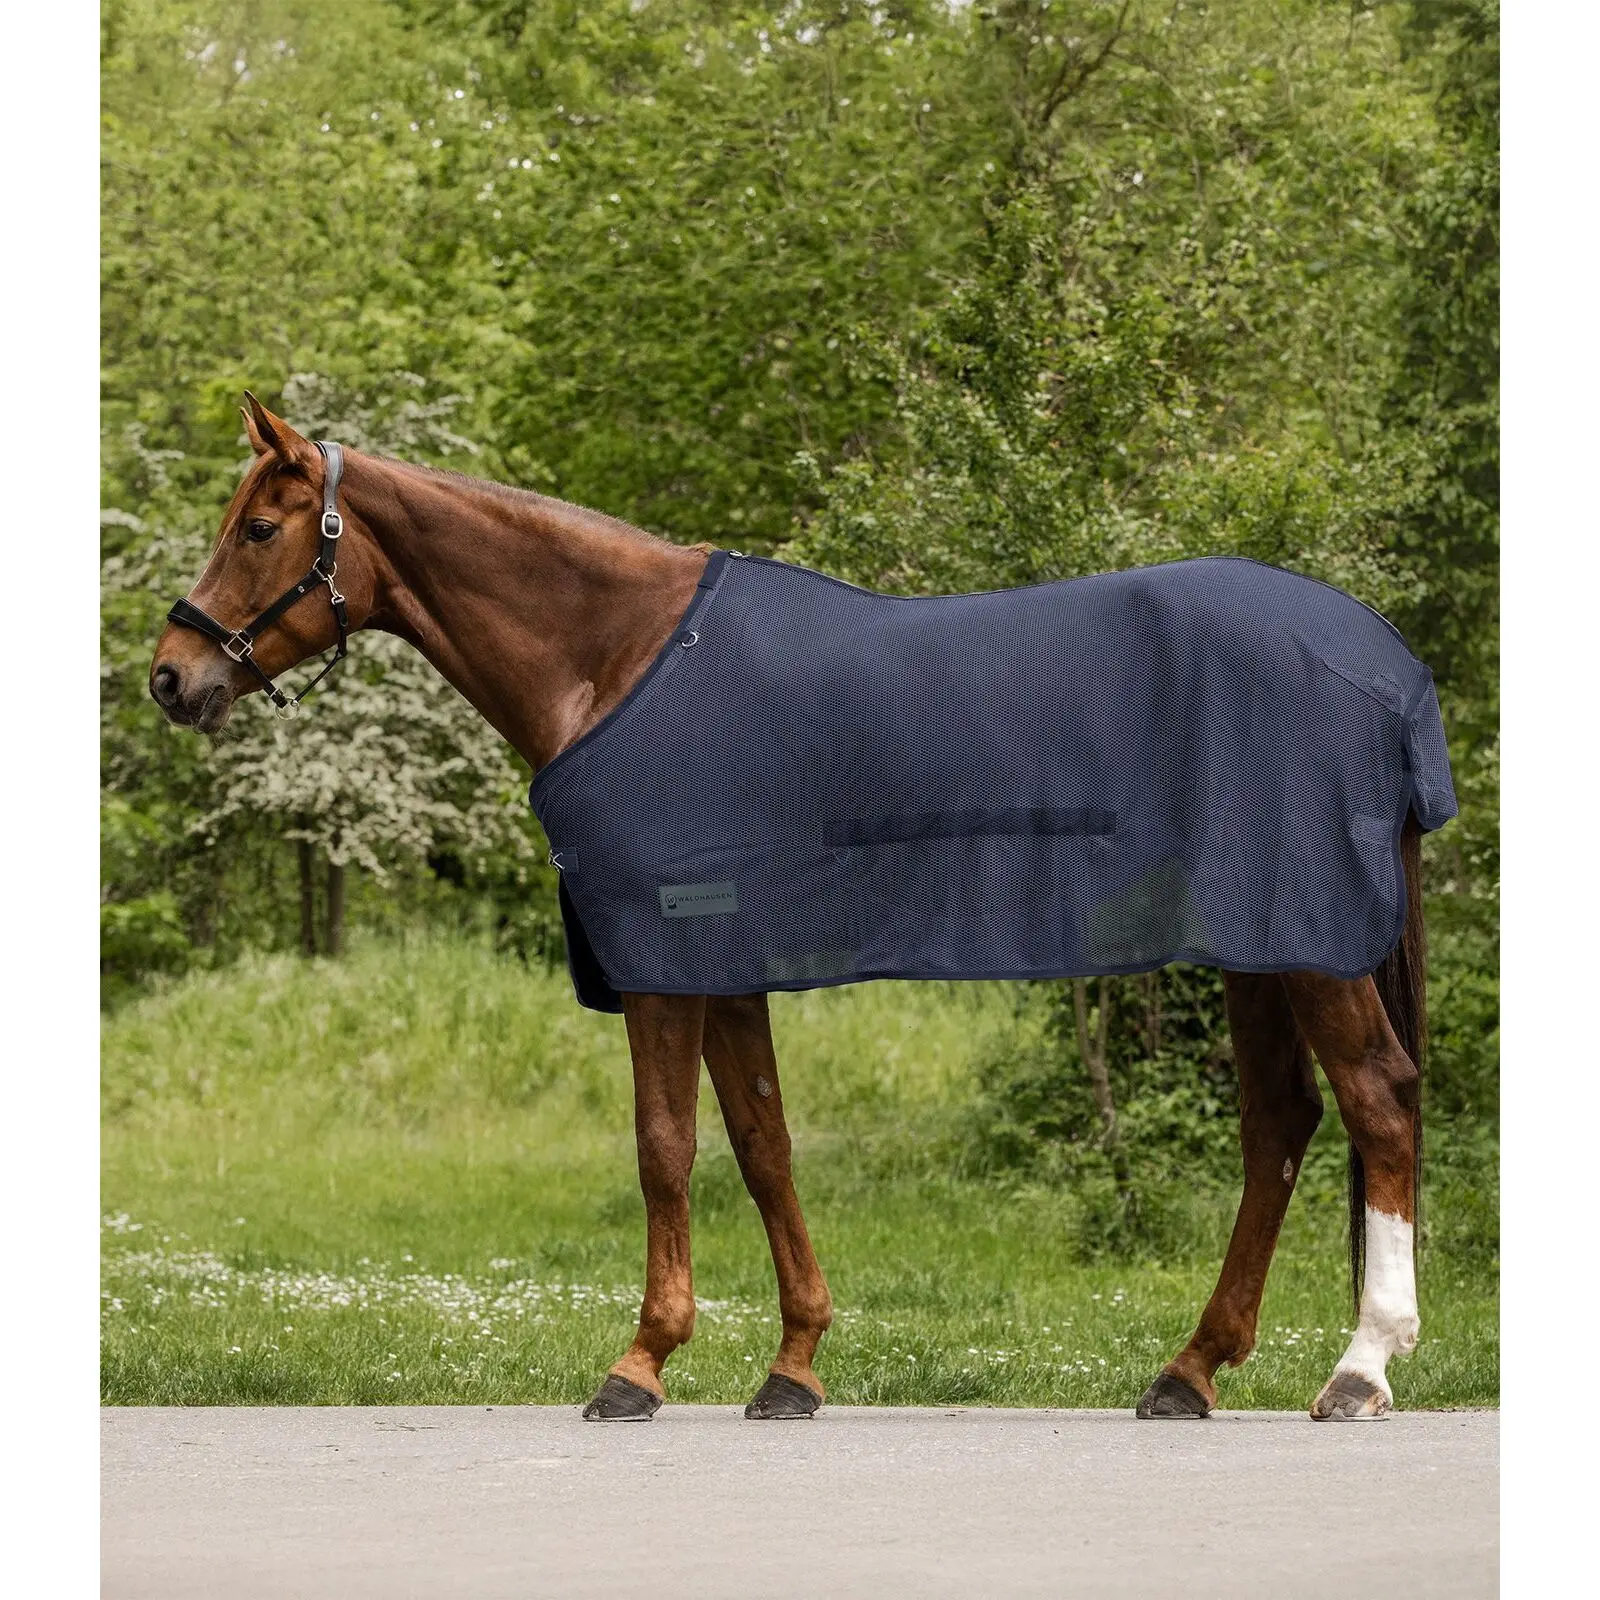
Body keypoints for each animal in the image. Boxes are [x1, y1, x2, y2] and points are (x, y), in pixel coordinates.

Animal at [149, 394, 1432, 1424]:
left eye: (257, 528)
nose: (171, 674)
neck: (615, 656)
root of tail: (1383, 663)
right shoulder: (725, 962)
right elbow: (763, 1146)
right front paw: (794, 1364)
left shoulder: (662, 953)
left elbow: (664, 1147)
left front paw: (641, 1363)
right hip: (1260, 942)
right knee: (1279, 1123)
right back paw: (1189, 1369)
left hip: (1307, 947)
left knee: (1376, 1101)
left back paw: (1360, 1368)